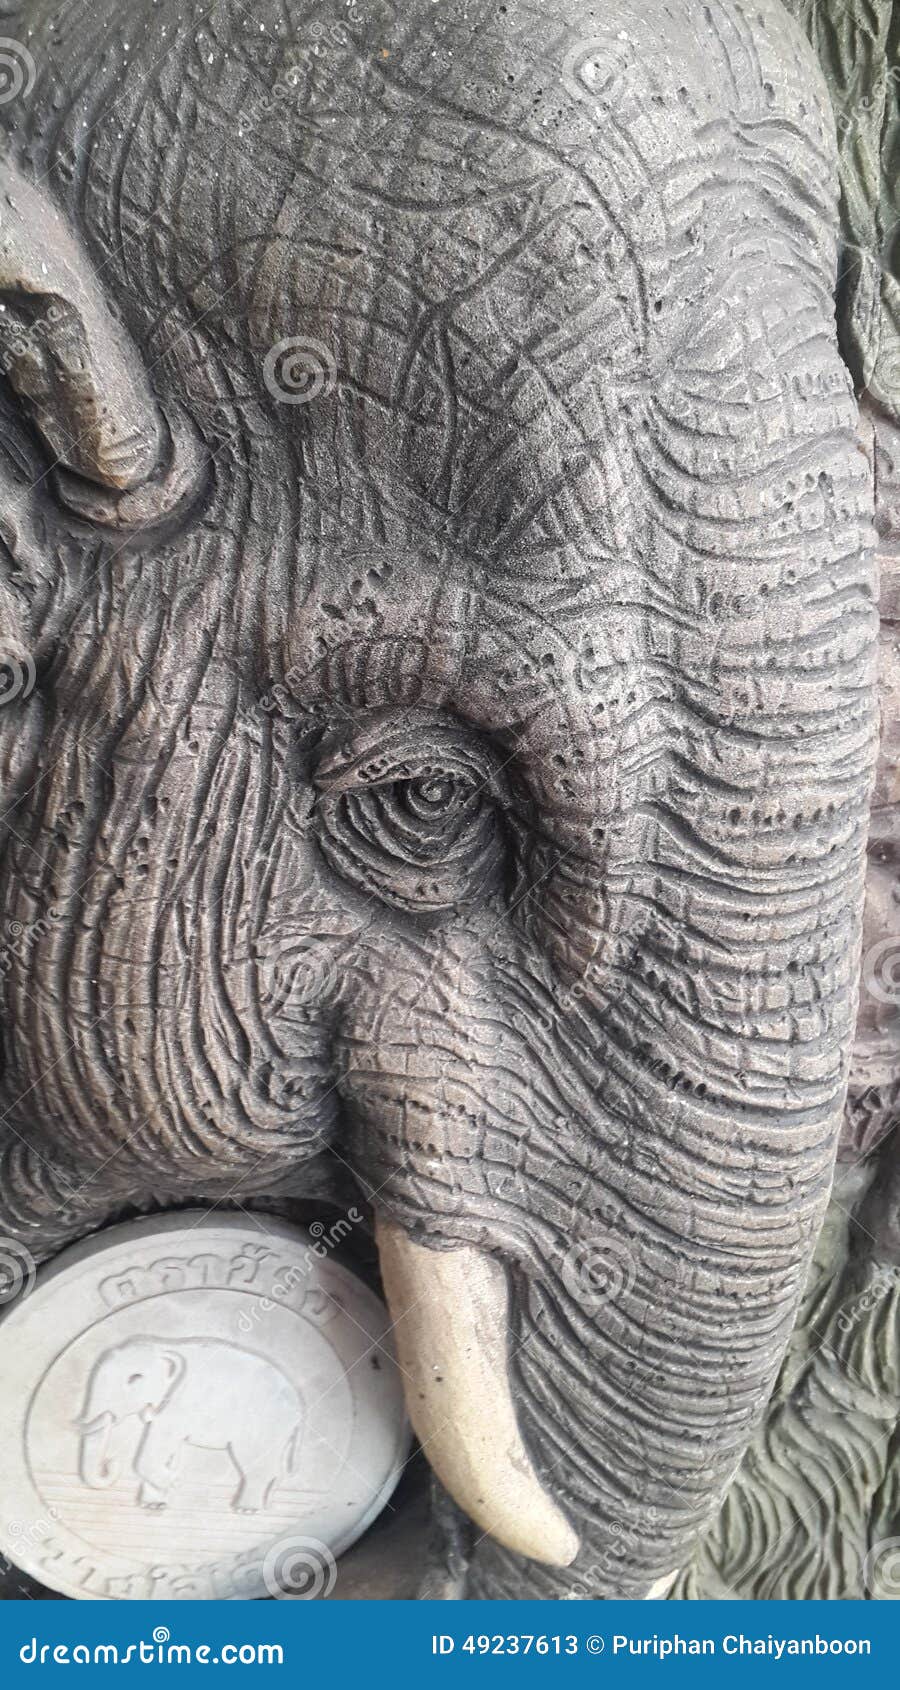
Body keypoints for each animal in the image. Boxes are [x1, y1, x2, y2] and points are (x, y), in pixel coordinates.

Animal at [76, 1338, 304, 1513]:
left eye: (134, 1378)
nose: (110, 1462)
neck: (165, 1347)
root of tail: (300, 1409)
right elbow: (167, 1451)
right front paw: (156, 1504)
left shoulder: (181, 1401)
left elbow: (153, 1452)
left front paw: (175, 1482)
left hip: (264, 1423)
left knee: (253, 1460)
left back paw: (246, 1509)